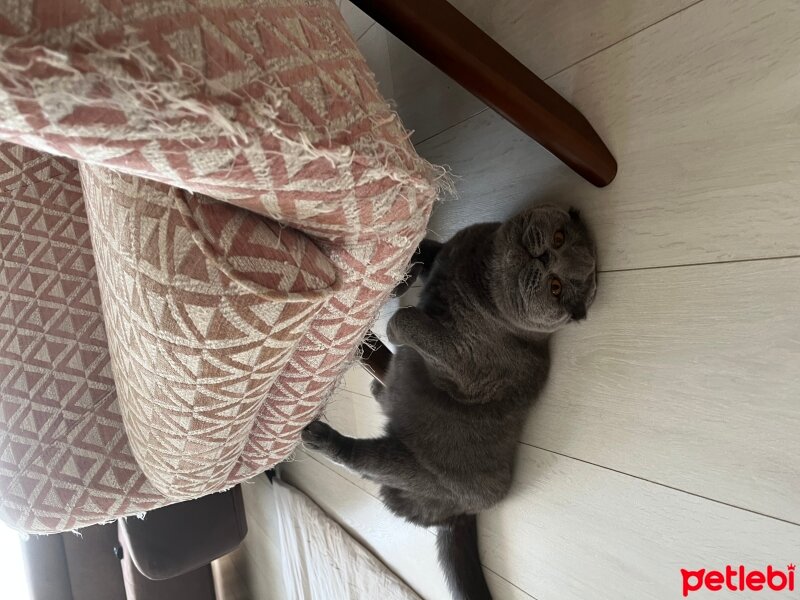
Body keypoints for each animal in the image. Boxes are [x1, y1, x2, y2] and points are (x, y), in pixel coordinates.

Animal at [304, 205, 596, 600]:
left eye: (556, 287)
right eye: (559, 238)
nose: (546, 257)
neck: (477, 274)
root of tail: (459, 514)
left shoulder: (464, 363)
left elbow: (409, 318)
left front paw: (394, 322)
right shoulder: (449, 250)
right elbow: (423, 252)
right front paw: (400, 276)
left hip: (410, 464)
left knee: (362, 460)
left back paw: (319, 434)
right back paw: (382, 389)